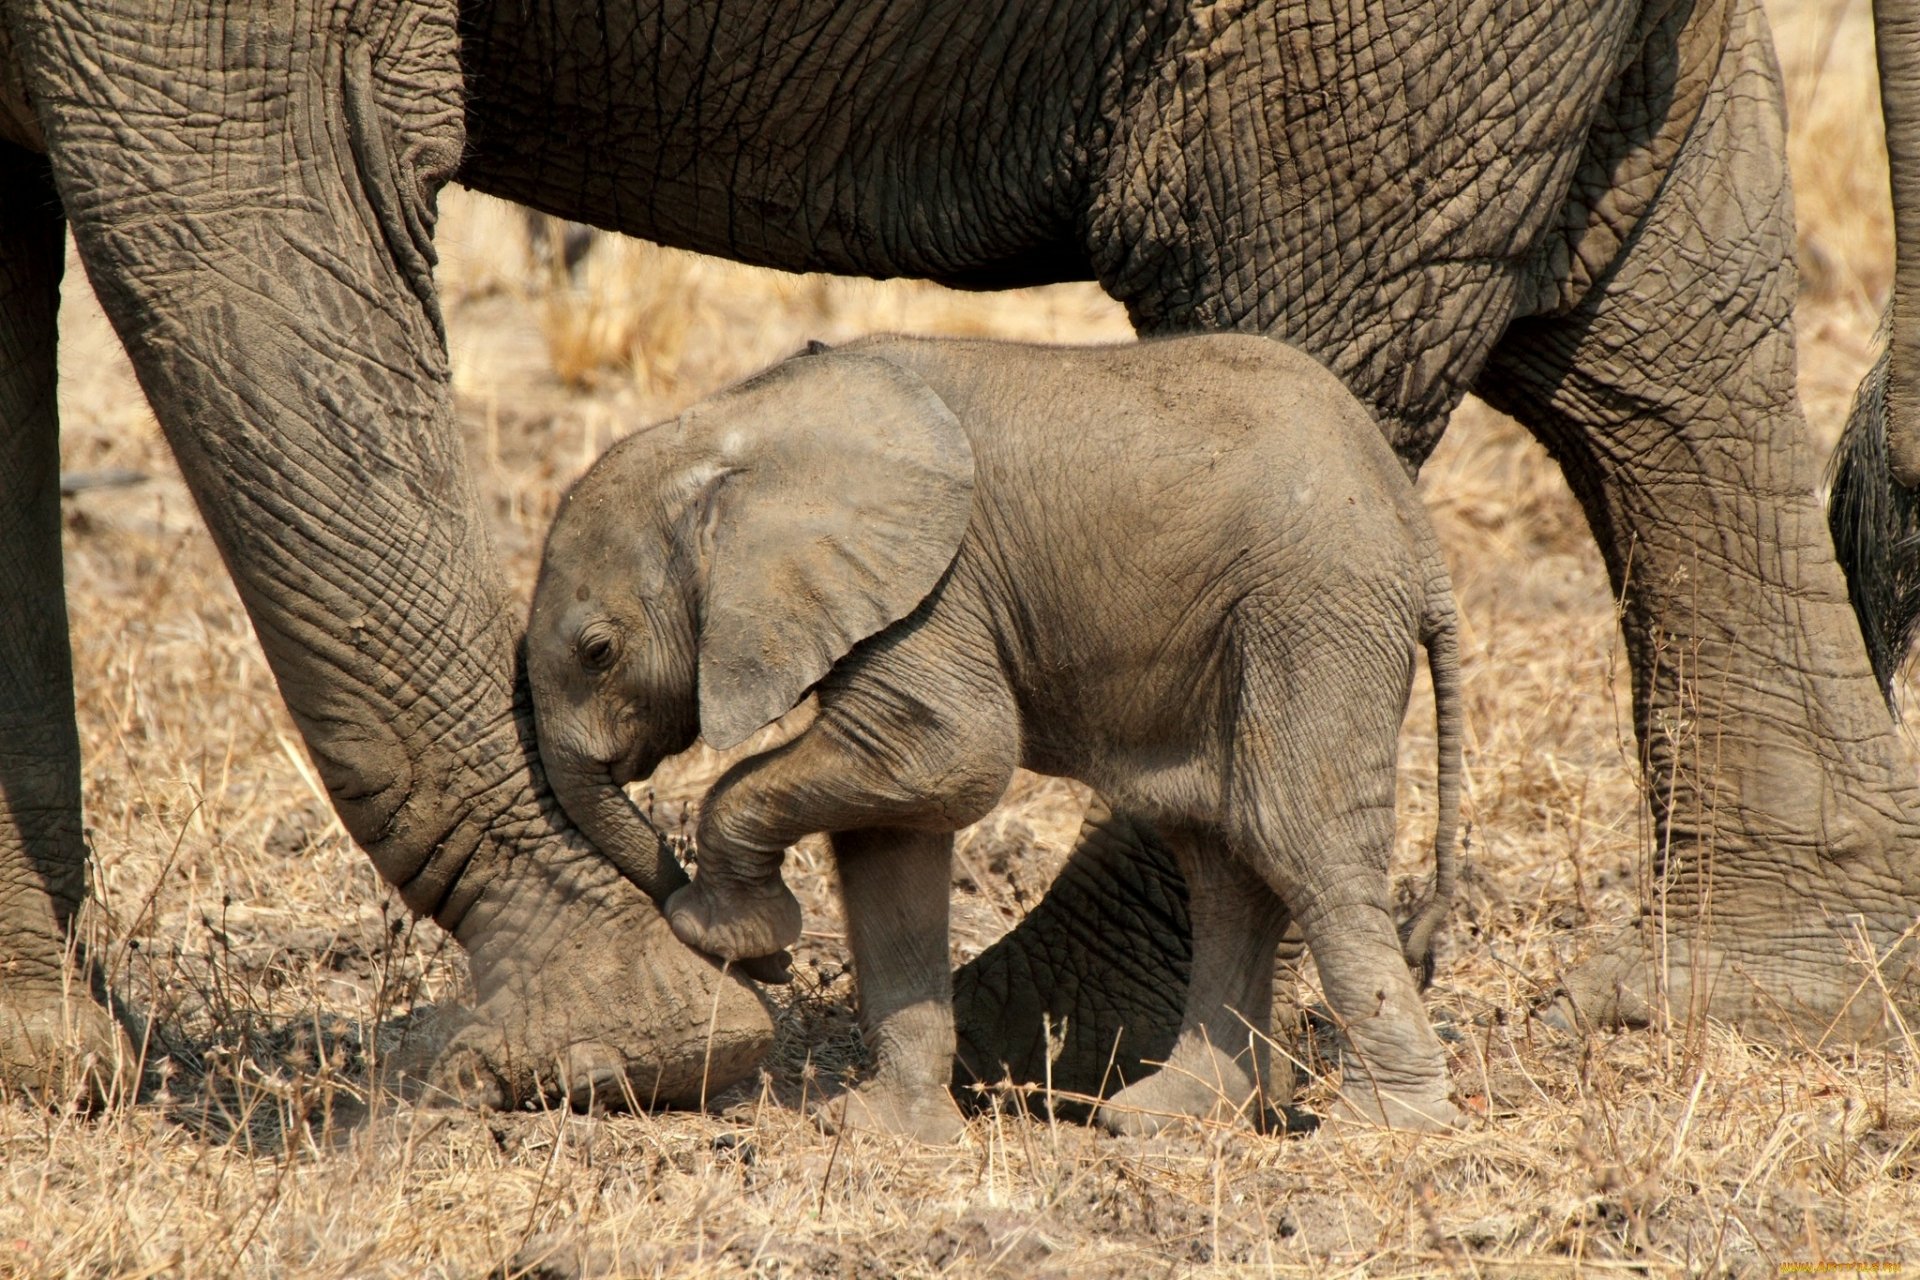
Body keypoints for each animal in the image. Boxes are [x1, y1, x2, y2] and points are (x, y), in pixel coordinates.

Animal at [533, 333, 1459, 1143]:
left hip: (1313, 607)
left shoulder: (937, 590)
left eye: (598, 651)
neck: (733, 424)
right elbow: (892, 837)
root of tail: (1414, 522)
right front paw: (883, 1130)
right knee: (1224, 856)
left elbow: (955, 758)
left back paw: (1389, 1125)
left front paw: (726, 933)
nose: (771, 979)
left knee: (1295, 837)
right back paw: (1169, 1117)